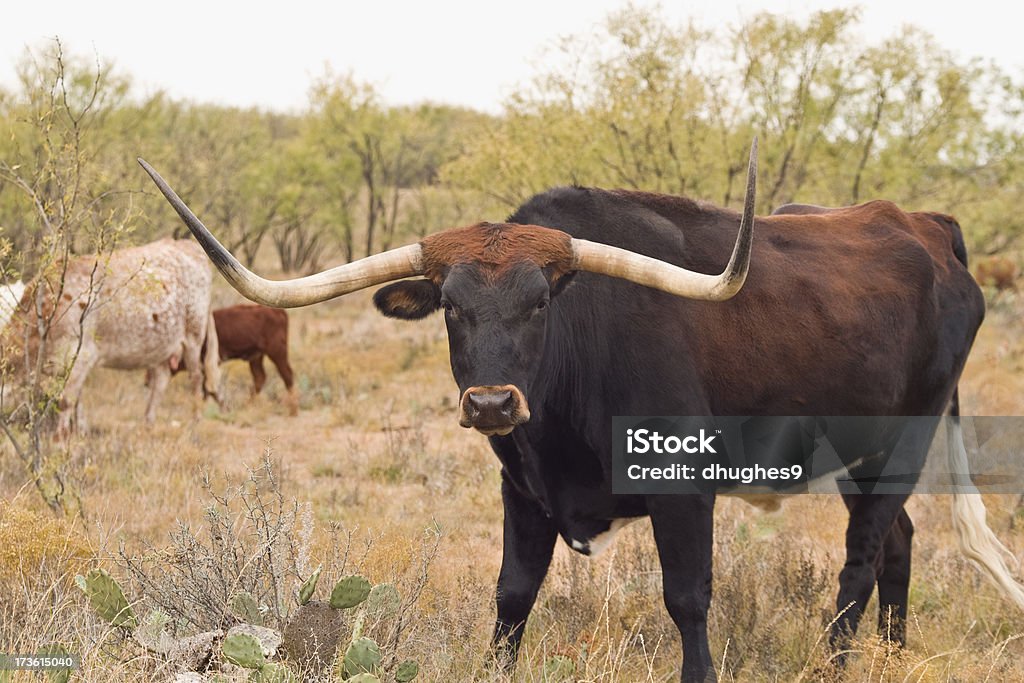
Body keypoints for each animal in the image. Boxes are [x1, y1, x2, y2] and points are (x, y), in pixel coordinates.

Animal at [1, 239, 218, 432]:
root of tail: (188, 245)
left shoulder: (82, 355)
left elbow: (66, 401)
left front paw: (60, 441)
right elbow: (77, 400)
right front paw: (81, 429)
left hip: (193, 336)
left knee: (196, 377)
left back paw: (193, 423)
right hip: (161, 343)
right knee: (161, 380)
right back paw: (147, 423)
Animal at [138, 140, 1024, 683]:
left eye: (540, 302)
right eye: (451, 306)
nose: (491, 401)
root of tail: (926, 226)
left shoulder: (682, 488)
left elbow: (687, 595)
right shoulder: (523, 492)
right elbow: (511, 596)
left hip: (904, 438)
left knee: (862, 556)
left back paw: (836, 659)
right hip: (859, 453)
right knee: (899, 541)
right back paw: (893, 650)